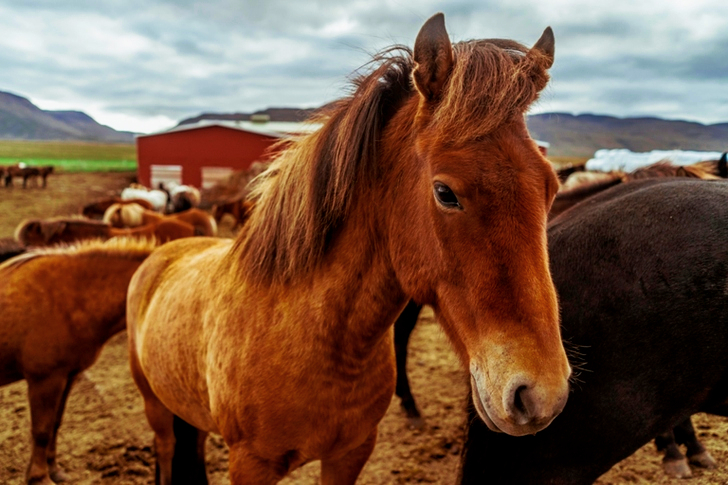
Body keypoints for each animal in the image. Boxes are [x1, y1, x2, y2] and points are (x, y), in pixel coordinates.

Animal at [0, 238, 157, 485]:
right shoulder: (44, 380)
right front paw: (39, 477)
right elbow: (41, 430)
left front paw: (54, 470)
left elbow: (54, 424)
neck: (72, 296)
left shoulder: (67, 376)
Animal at [126, 14, 570, 484]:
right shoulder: (251, 464)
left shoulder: (350, 453)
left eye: (551, 187)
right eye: (445, 193)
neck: (321, 342)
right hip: (155, 406)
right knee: (167, 448)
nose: (540, 395)